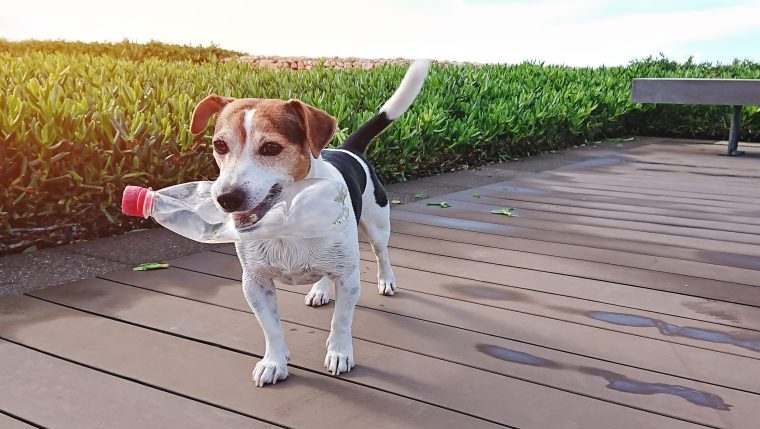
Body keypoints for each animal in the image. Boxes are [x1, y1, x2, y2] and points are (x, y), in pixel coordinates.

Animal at [188, 59, 430, 384]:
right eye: (220, 145)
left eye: (271, 148)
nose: (226, 198)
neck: (288, 222)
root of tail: (348, 149)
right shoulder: (254, 282)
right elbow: (271, 328)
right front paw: (274, 362)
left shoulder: (348, 278)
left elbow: (341, 321)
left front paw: (339, 353)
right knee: (324, 272)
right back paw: (319, 290)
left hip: (377, 226)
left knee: (382, 255)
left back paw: (386, 280)